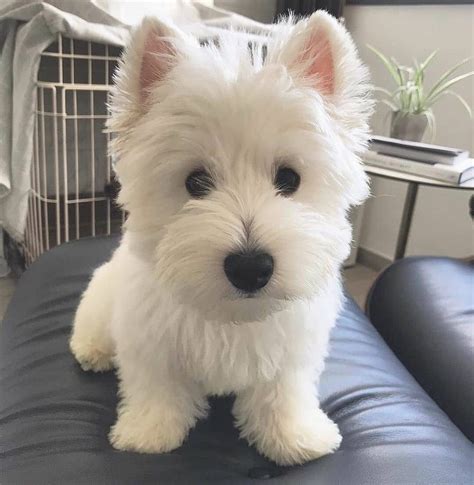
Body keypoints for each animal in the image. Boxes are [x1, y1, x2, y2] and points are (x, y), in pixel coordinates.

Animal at [70, 11, 372, 466]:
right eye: (195, 182)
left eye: (289, 178)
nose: (250, 267)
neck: (231, 314)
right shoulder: (150, 340)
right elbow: (156, 387)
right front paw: (148, 434)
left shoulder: (290, 348)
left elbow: (283, 393)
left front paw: (294, 437)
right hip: (102, 300)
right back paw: (93, 351)